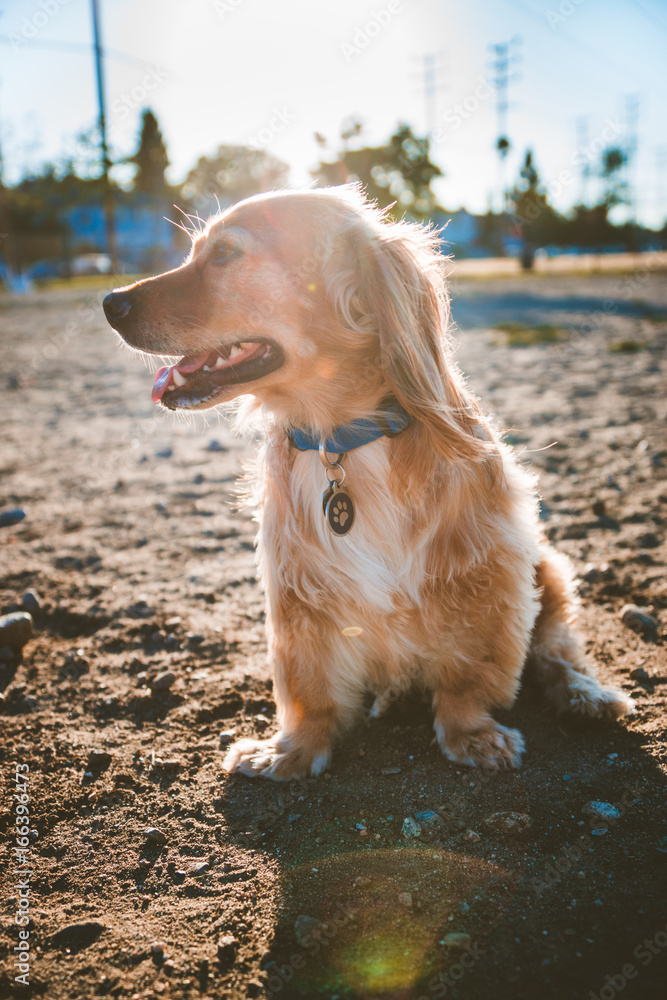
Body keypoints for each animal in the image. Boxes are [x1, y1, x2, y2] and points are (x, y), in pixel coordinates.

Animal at [102, 186, 636, 780]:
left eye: (224, 255)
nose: (110, 303)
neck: (344, 440)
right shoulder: (299, 591)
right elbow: (310, 689)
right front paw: (292, 749)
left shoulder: (482, 574)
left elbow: (467, 677)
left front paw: (470, 733)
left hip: (550, 573)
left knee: (554, 653)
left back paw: (586, 693)